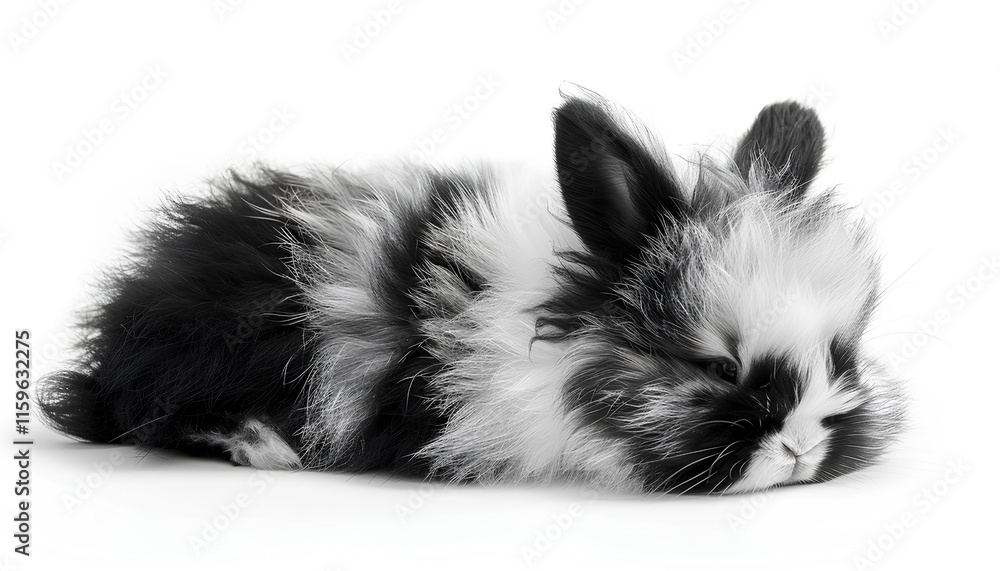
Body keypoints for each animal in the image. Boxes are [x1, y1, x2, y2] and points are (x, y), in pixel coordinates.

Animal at [38, 86, 905, 494]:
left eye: (842, 357)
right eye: (718, 367)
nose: (801, 448)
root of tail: (122, 320)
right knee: (154, 416)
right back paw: (264, 446)